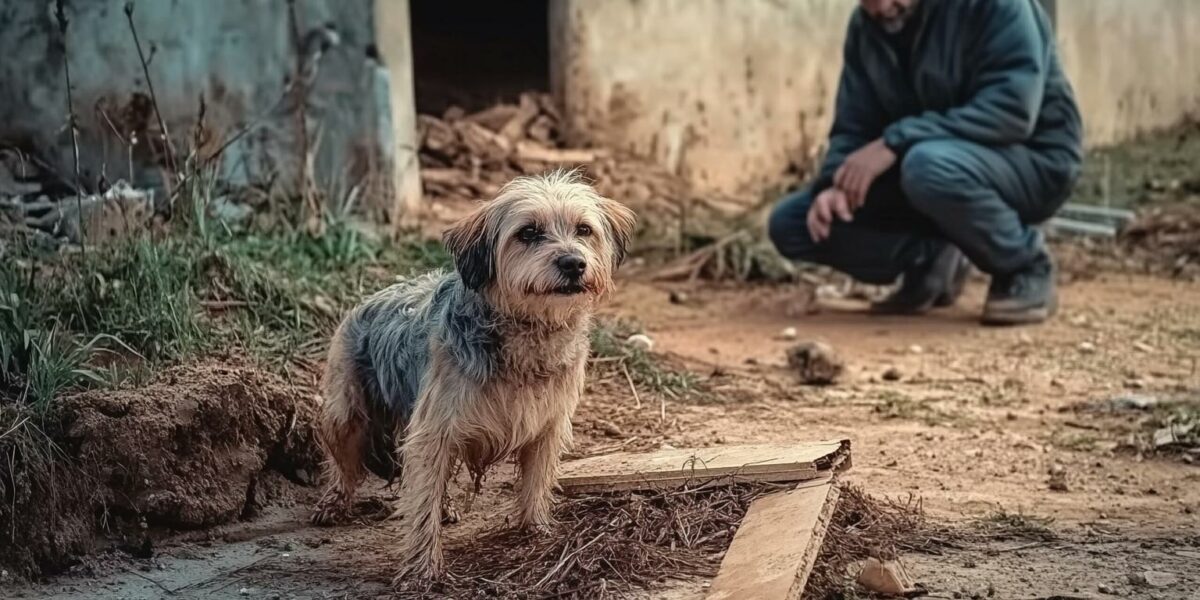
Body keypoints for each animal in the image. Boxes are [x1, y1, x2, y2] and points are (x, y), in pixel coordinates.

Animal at [314, 170, 643, 580]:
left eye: (584, 229)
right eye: (528, 233)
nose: (573, 263)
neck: (526, 334)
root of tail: (371, 297)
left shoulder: (548, 427)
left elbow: (536, 483)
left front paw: (536, 531)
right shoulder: (432, 432)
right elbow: (421, 504)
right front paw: (423, 566)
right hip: (344, 414)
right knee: (343, 463)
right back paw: (334, 501)